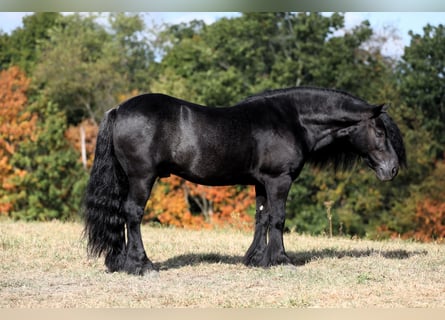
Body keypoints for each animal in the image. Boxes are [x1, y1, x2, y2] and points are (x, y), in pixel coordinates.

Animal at [83, 87, 406, 276]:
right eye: (379, 132)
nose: (392, 169)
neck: (294, 120)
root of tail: (118, 110)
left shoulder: (261, 182)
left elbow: (261, 217)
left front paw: (256, 258)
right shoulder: (279, 180)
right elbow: (278, 218)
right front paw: (281, 259)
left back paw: (120, 262)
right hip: (141, 177)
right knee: (133, 214)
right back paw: (141, 265)